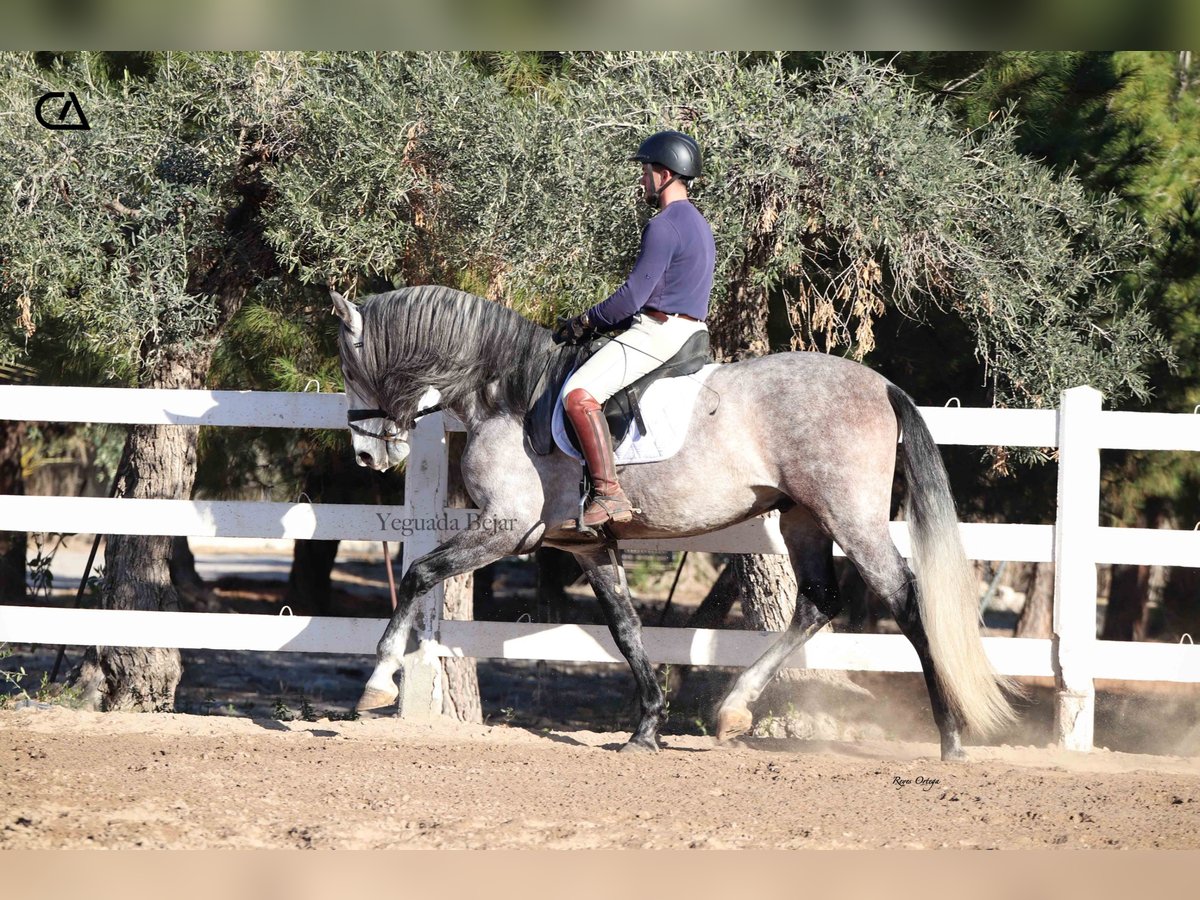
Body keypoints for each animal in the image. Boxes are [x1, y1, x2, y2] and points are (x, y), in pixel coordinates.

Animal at [333, 286, 1017, 763]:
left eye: (347, 369)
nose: (366, 457)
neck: (507, 393)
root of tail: (880, 386)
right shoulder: (583, 544)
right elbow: (627, 629)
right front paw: (647, 728)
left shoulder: (506, 527)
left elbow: (420, 572)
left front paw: (377, 682)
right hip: (802, 517)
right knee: (819, 602)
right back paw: (733, 711)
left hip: (853, 518)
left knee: (905, 600)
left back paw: (951, 736)